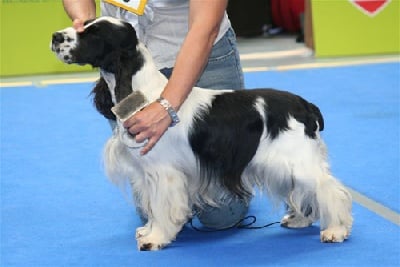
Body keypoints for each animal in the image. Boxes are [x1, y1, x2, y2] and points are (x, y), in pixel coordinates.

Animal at [51, 16, 352, 251]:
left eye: (93, 34)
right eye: (84, 25)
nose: (55, 36)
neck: (143, 92)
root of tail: (305, 104)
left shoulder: (164, 173)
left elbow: (161, 207)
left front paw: (155, 238)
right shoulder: (146, 174)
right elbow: (151, 207)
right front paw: (148, 230)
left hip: (297, 160)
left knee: (330, 189)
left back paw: (336, 230)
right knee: (306, 191)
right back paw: (300, 220)